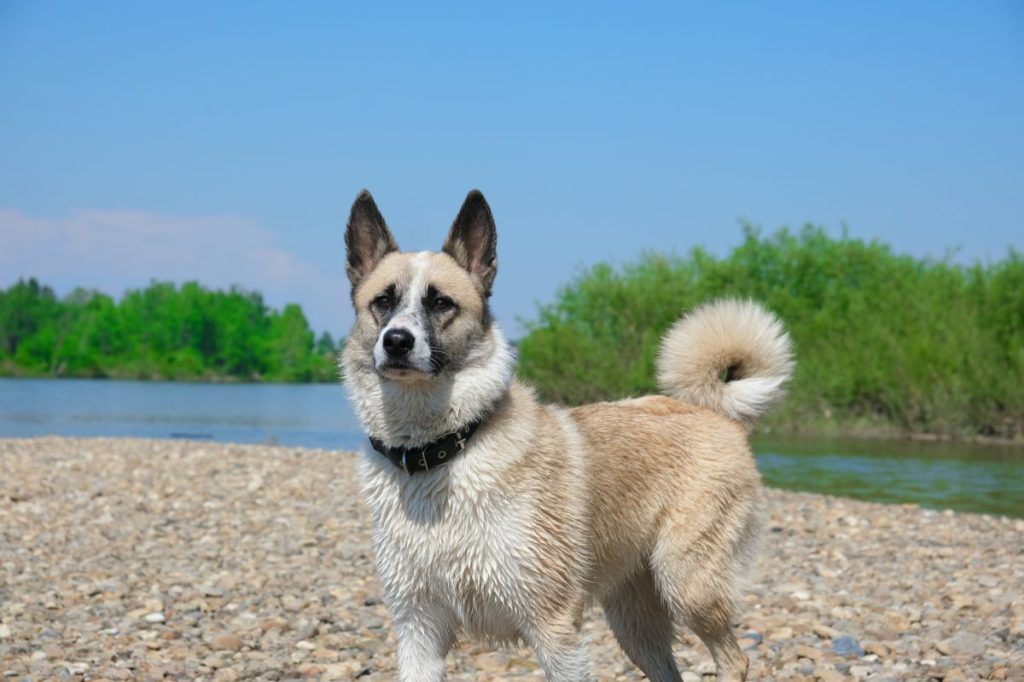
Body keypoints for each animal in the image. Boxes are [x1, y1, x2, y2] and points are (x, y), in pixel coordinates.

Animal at [342, 188, 790, 675]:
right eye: (383, 302)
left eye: (441, 303)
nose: (397, 341)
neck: (442, 449)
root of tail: (715, 413)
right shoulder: (418, 629)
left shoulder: (554, 628)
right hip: (634, 621)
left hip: (689, 586)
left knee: (734, 659)